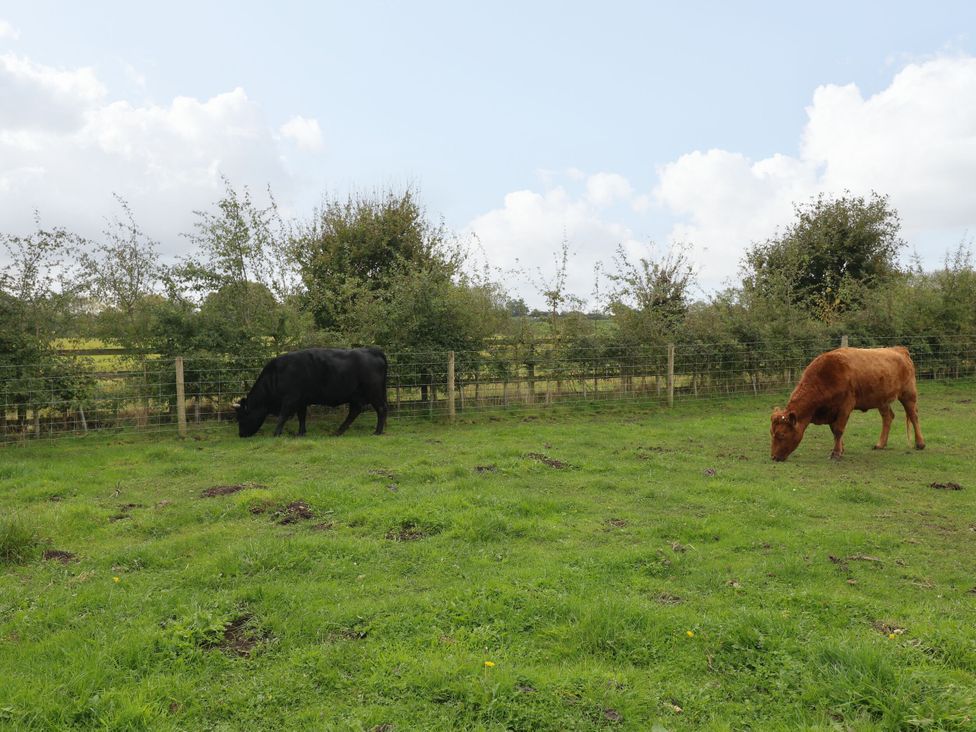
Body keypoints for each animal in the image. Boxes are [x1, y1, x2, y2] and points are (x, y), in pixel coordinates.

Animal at [233, 348, 388, 438]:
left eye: (242, 417)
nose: (241, 434)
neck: (276, 374)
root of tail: (372, 350)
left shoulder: (290, 399)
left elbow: (282, 416)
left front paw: (276, 433)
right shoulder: (301, 400)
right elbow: (302, 416)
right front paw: (301, 433)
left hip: (374, 392)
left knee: (381, 409)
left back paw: (377, 431)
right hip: (355, 396)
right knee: (355, 411)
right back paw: (338, 431)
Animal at [772, 346, 924, 460]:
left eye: (781, 434)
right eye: (771, 433)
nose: (773, 457)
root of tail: (899, 349)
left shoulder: (845, 406)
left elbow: (838, 430)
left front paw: (836, 453)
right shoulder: (831, 411)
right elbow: (834, 430)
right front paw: (840, 449)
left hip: (908, 394)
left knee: (913, 416)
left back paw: (920, 444)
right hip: (882, 401)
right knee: (888, 417)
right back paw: (880, 444)